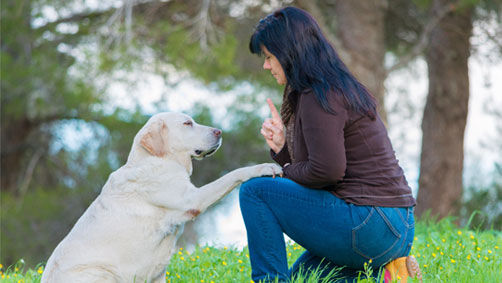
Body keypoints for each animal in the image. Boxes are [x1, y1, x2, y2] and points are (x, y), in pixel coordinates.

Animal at [40, 112, 280, 282]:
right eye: (187, 123)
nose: (219, 131)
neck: (157, 159)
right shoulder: (192, 199)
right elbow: (232, 174)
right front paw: (262, 167)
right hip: (103, 273)